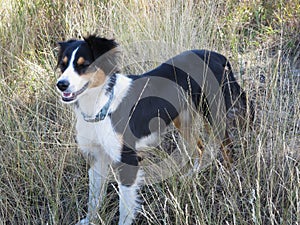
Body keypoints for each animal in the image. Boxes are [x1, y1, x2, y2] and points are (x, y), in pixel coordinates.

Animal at [56, 34, 253, 223]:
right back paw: (191, 176)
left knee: (227, 146)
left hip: (212, 112)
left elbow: (125, 208)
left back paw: (229, 179)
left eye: (85, 65)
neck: (100, 105)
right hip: (183, 118)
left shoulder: (127, 159)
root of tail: (217, 55)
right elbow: (94, 198)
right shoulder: (97, 157)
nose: (61, 84)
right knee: (198, 146)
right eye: (63, 65)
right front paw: (90, 220)